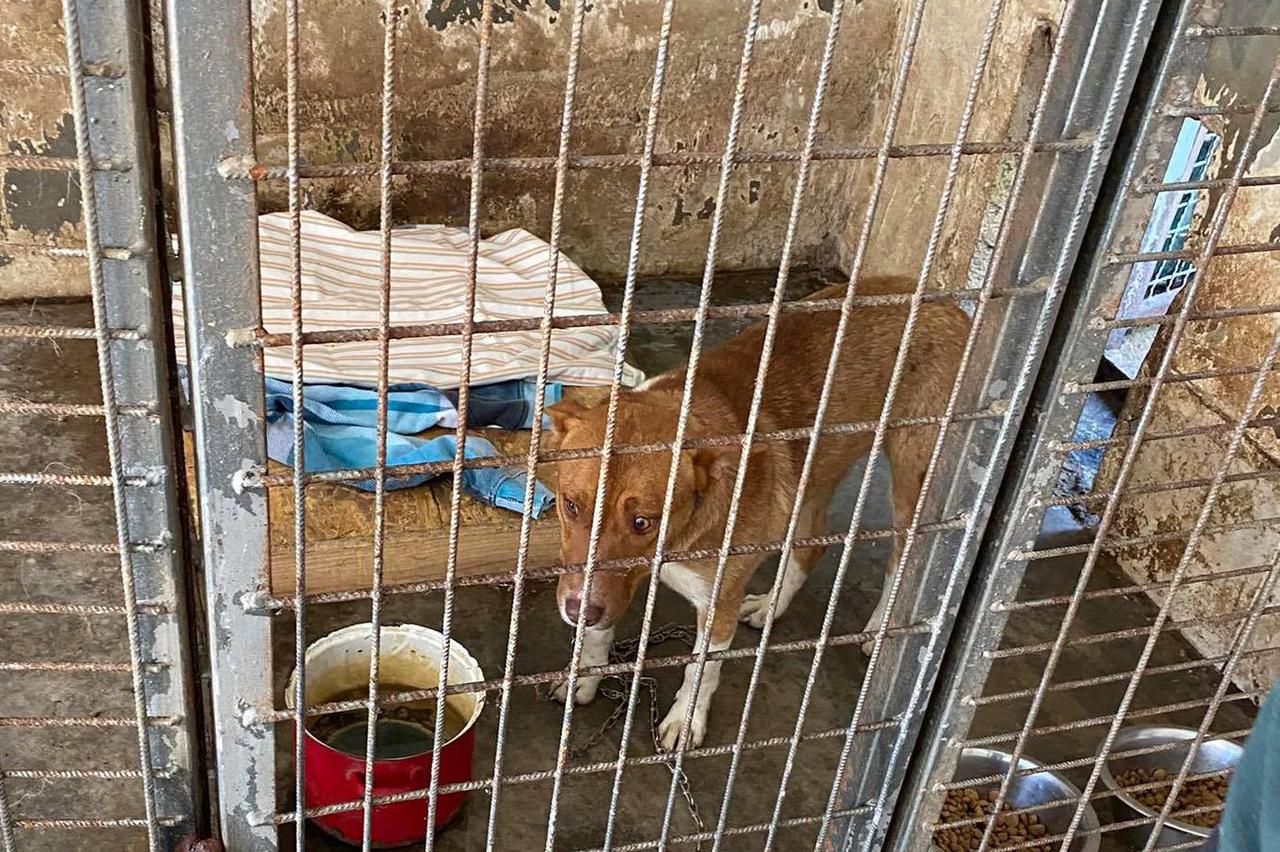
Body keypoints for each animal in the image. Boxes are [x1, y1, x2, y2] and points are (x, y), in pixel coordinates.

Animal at [546, 276, 970, 750]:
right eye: (570, 505)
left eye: (643, 522)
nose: (577, 611)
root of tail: (945, 300)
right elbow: (599, 631)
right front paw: (585, 675)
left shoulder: (719, 601)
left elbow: (702, 668)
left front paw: (685, 720)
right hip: (814, 469)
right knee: (811, 544)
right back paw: (771, 606)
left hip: (914, 476)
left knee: (903, 557)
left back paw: (879, 627)